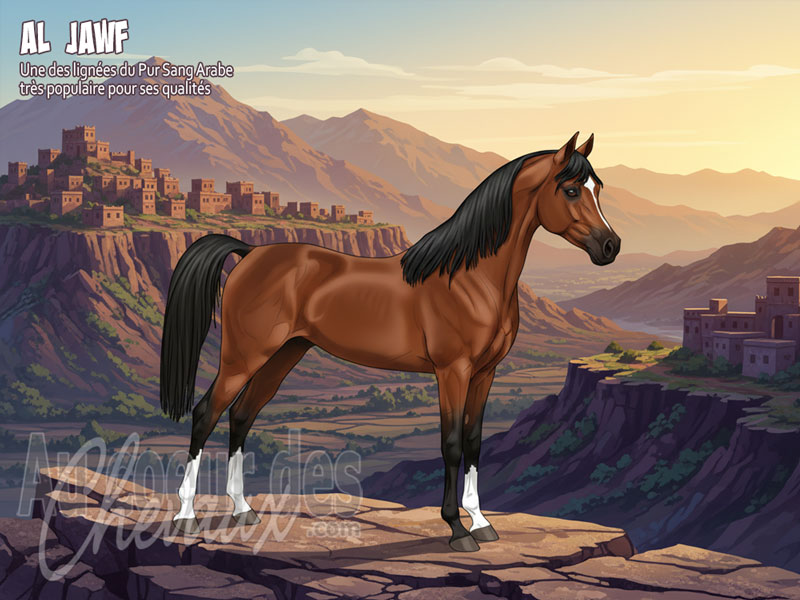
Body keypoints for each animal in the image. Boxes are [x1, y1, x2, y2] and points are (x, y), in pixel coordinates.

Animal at [159, 132, 620, 552]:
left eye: (598, 188)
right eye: (572, 189)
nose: (610, 246)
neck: (470, 277)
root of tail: (249, 252)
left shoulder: (486, 373)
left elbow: (474, 442)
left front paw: (481, 522)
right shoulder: (453, 371)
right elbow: (452, 443)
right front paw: (457, 529)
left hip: (283, 355)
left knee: (242, 415)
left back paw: (243, 509)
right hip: (243, 356)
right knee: (206, 414)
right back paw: (186, 516)